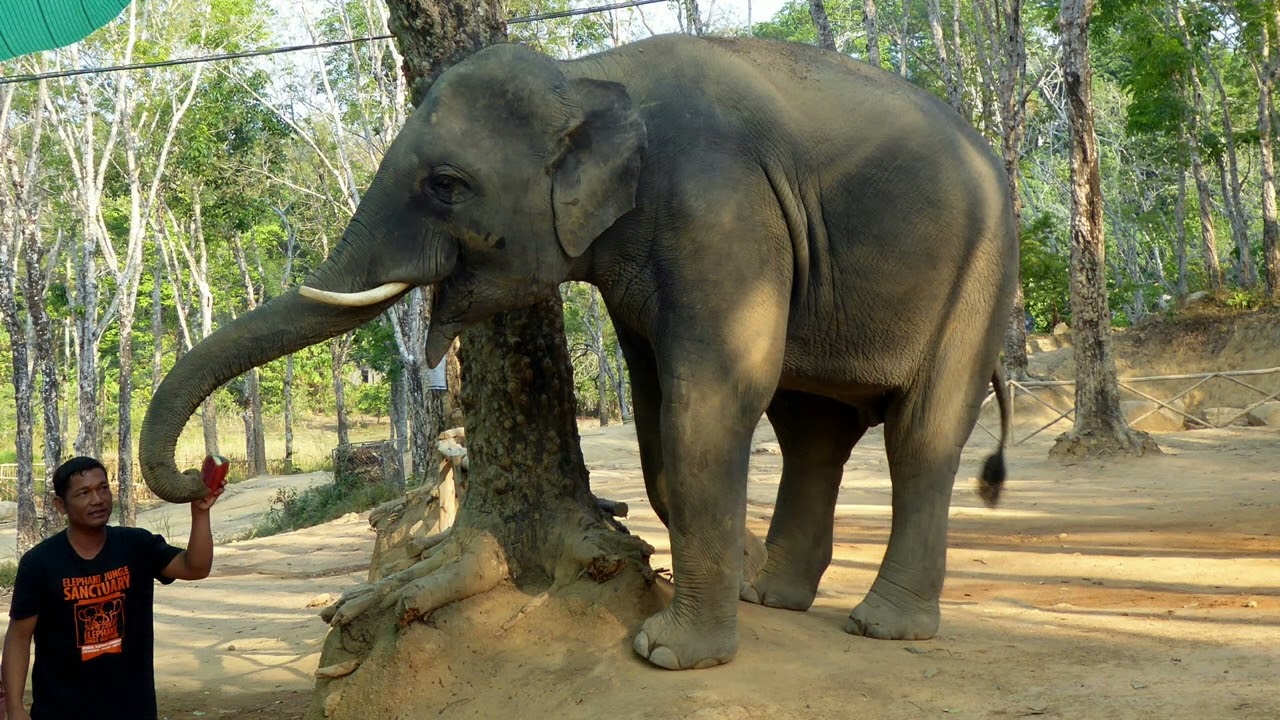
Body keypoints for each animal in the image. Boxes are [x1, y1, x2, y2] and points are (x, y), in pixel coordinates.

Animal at [140, 33, 1017, 672]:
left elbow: (716, 396)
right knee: (814, 433)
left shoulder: (721, 208)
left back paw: (882, 626)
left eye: (446, 184)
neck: (591, 75)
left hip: (980, 274)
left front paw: (667, 653)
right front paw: (713, 594)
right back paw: (775, 598)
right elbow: (658, 410)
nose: (201, 476)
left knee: (920, 435)